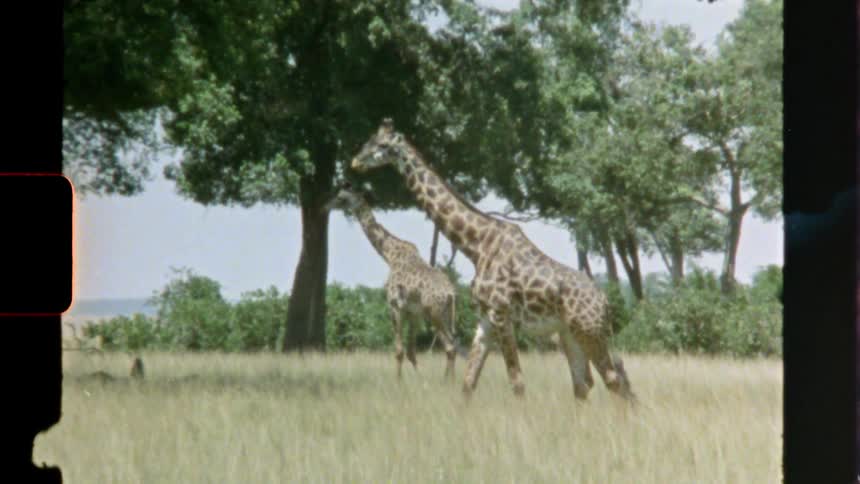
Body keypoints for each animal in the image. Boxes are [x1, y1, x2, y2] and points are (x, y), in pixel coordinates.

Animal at [324, 185, 468, 380]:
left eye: (341, 198)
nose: (324, 207)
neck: (389, 255)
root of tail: (451, 293)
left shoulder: (395, 306)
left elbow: (399, 351)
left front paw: (398, 382)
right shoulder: (413, 313)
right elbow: (411, 352)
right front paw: (420, 381)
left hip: (434, 314)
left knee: (450, 347)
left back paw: (449, 382)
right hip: (446, 314)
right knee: (452, 346)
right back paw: (448, 380)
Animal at [349, 118, 636, 403]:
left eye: (382, 145)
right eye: (369, 140)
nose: (355, 162)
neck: (477, 246)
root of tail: (606, 304)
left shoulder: (501, 315)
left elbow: (517, 383)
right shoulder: (485, 319)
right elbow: (468, 383)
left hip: (589, 333)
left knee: (614, 381)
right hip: (570, 334)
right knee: (584, 385)